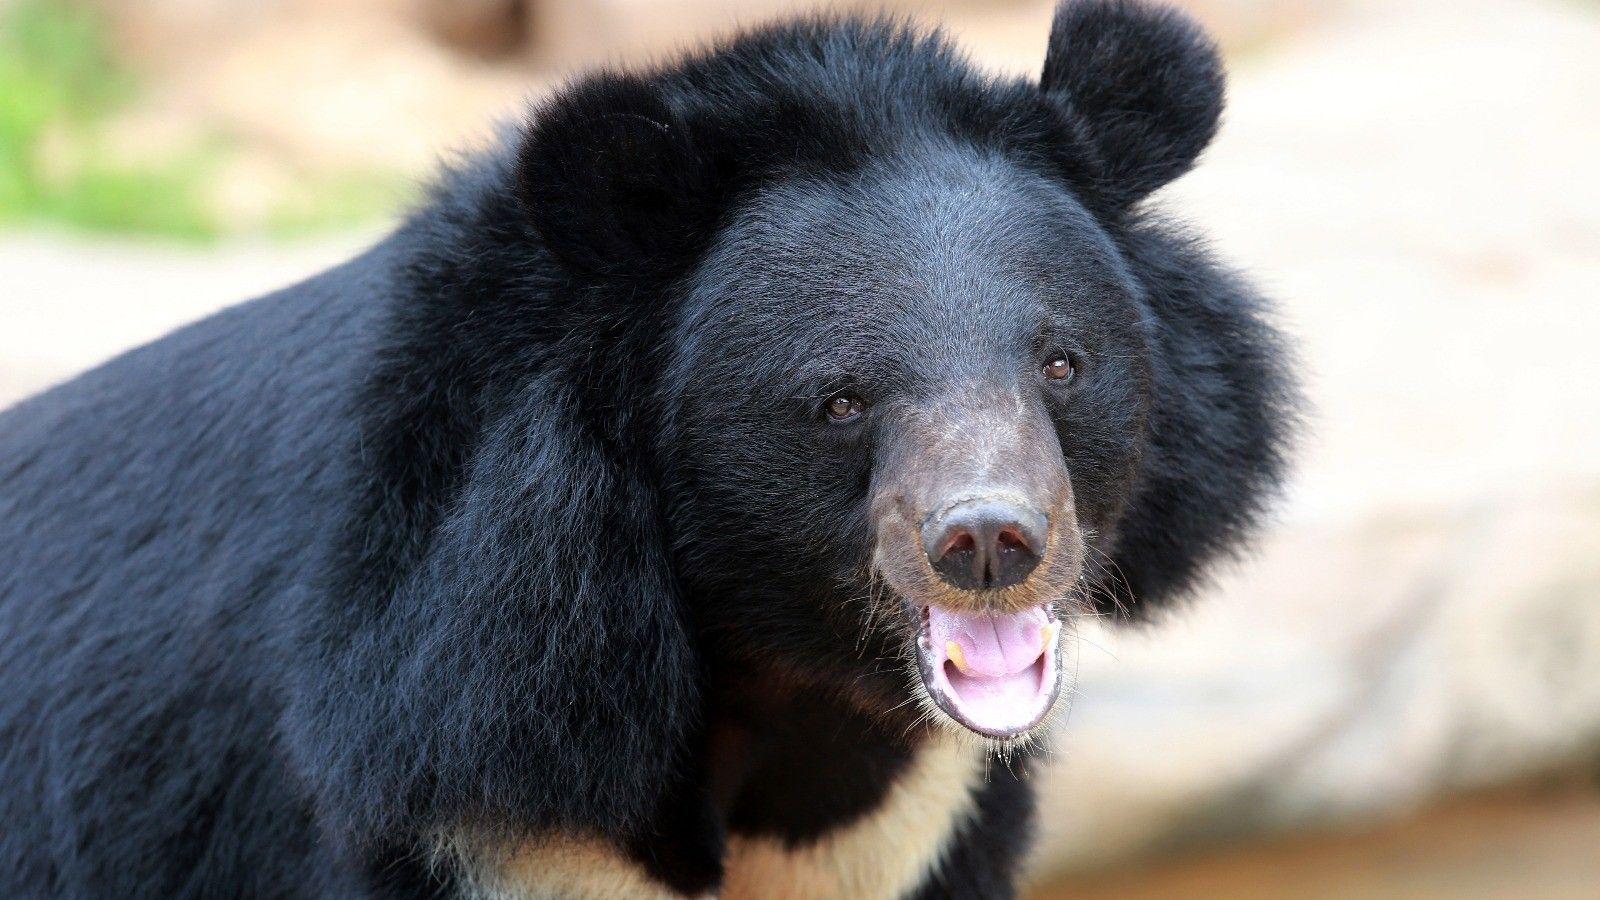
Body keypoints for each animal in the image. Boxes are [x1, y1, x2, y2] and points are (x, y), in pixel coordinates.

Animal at [0, 1, 1295, 897]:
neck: (788, 683)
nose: (988, 542)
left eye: (1062, 364)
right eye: (839, 400)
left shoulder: (914, 828)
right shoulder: (449, 767)